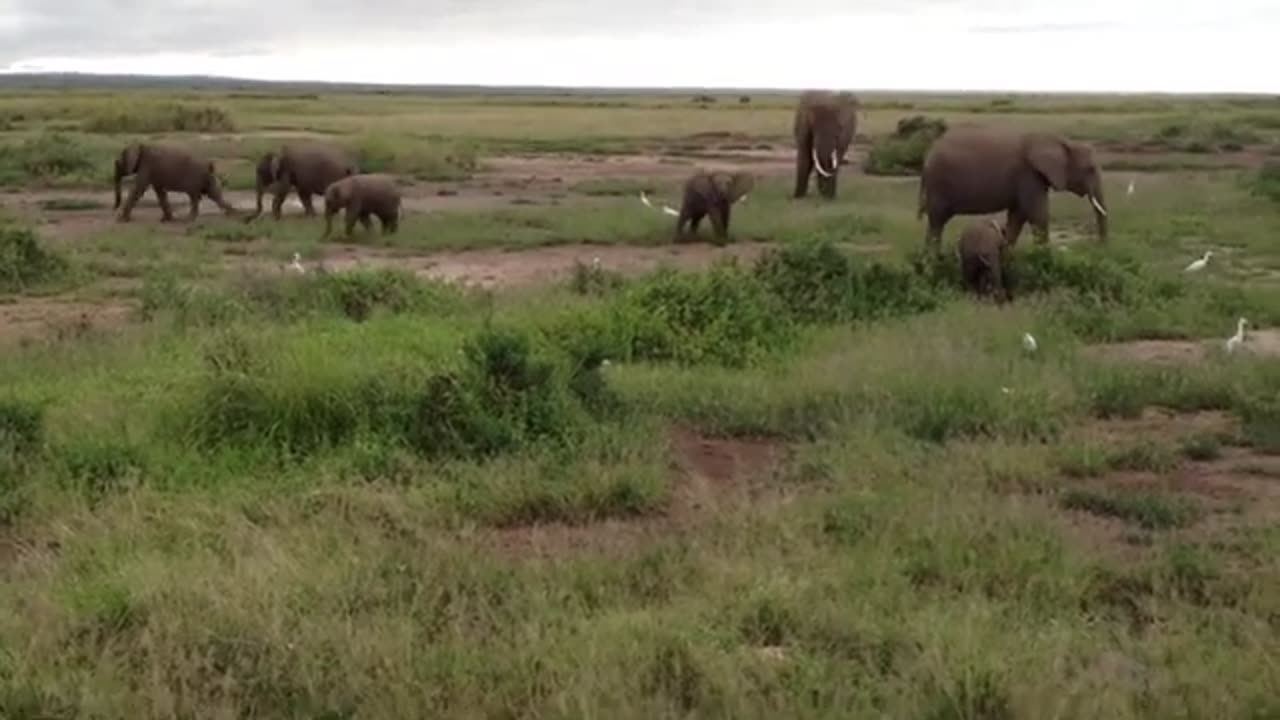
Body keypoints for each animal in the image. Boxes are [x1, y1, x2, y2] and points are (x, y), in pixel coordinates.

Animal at [916, 124, 1105, 253]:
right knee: (937, 222)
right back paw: (933, 260)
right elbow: (1037, 215)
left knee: (936, 223)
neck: (1064, 142)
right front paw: (1043, 256)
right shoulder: (1029, 175)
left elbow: (1017, 216)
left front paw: (1006, 254)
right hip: (938, 185)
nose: (1099, 247)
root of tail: (927, 156)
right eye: (1090, 169)